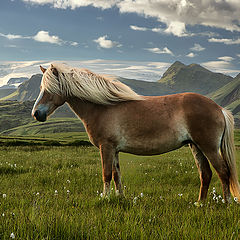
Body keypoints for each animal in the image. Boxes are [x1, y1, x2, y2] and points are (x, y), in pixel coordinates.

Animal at [31, 62, 240, 203]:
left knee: (223, 172)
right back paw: (199, 204)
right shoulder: (114, 150)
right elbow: (117, 175)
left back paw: (226, 203)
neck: (103, 107)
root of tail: (218, 108)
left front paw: (104, 198)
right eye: (40, 88)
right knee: (206, 174)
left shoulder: (106, 147)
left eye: (49, 89)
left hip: (209, 147)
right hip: (196, 147)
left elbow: (106, 174)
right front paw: (119, 198)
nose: (36, 114)